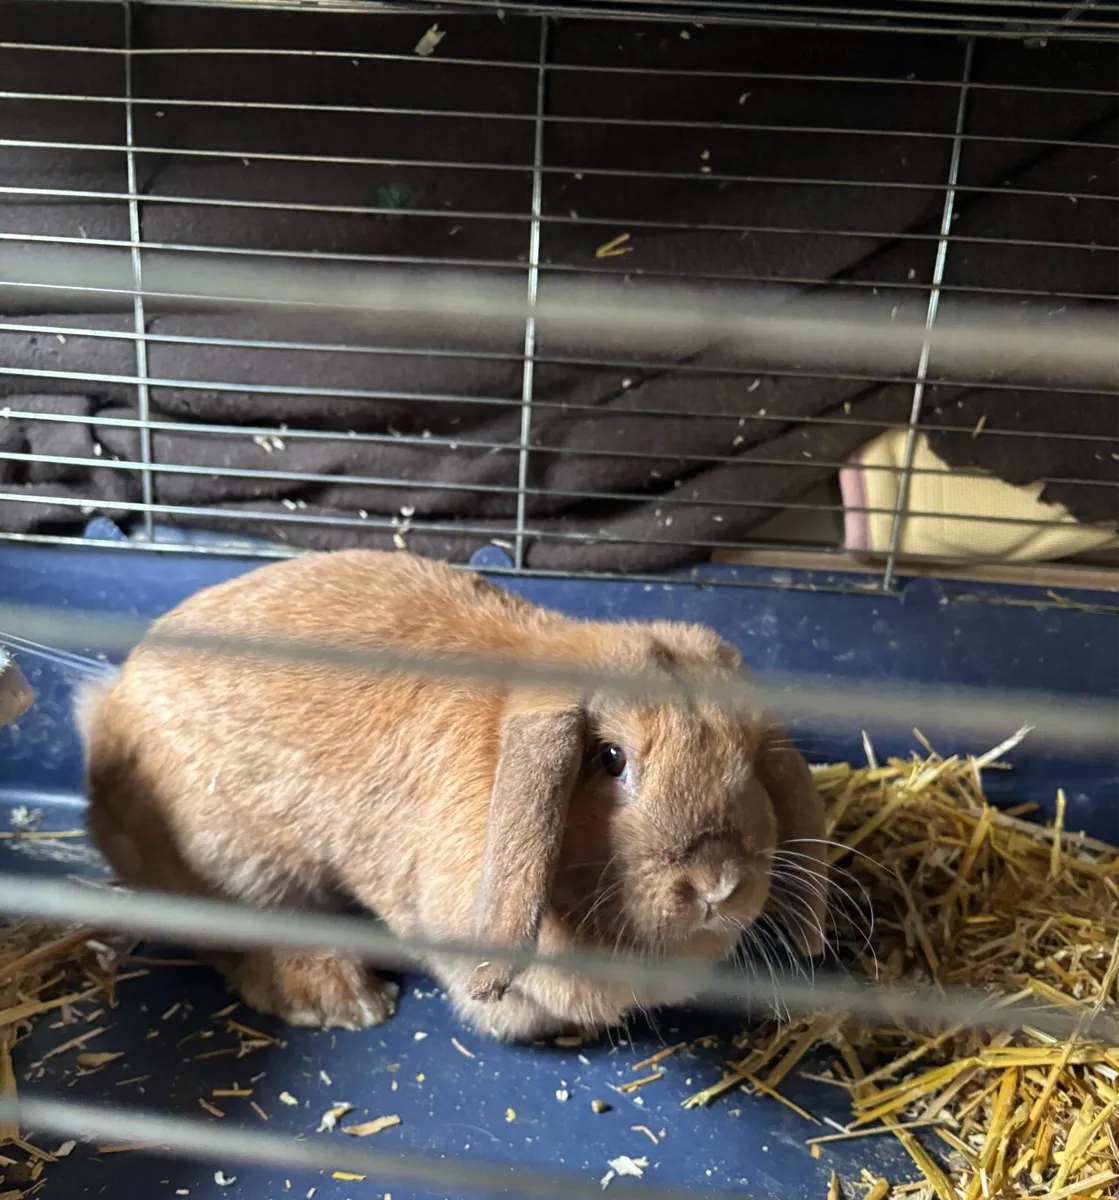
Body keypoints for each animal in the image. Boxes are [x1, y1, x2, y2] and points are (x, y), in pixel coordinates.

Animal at [76, 549, 829, 1041]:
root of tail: (107, 711)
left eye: (744, 755)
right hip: (246, 870)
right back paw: (349, 999)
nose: (716, 882)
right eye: (611, 759)